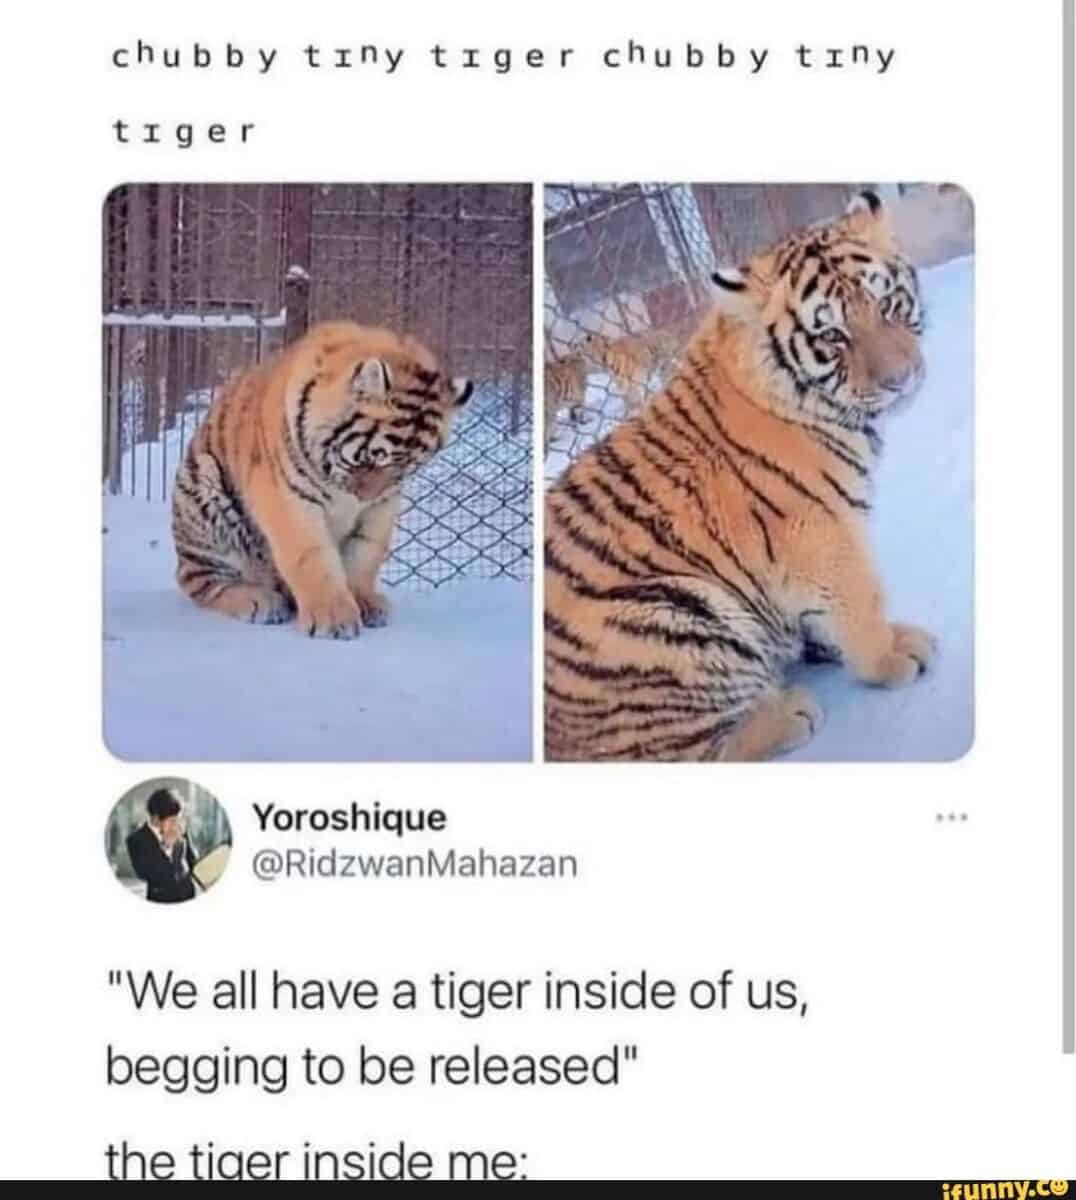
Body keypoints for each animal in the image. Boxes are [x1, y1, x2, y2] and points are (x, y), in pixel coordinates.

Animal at [172, 321, 473, 639]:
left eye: (404, 469)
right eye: (371, 458)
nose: (365, 498)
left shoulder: (381, 507)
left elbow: (365, 553)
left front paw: (364, 602)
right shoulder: (288, 498)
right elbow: (311, 556)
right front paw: (333, 619)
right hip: (206, 490)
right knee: (200, 581)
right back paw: (260, 600)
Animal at [544, 191, 933, 762]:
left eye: (887, 305)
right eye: (832, 335)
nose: (901, 381)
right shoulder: (819, 530)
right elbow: (861, 599)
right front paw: (891, 655)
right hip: (669, 614)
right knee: (687, 751)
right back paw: (787, 713)